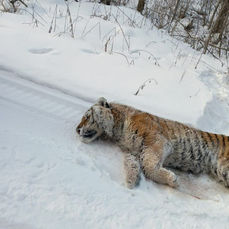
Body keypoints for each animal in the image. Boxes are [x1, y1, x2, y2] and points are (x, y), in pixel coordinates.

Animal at [76, 96, 229, 188]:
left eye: (87, 117)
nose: (77, 130)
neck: (117, 133)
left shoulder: (156, 140)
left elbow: (149, 166)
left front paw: (172, 179)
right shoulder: (131, 151)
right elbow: (130, 163)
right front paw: (131, 181)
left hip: (224, 168)